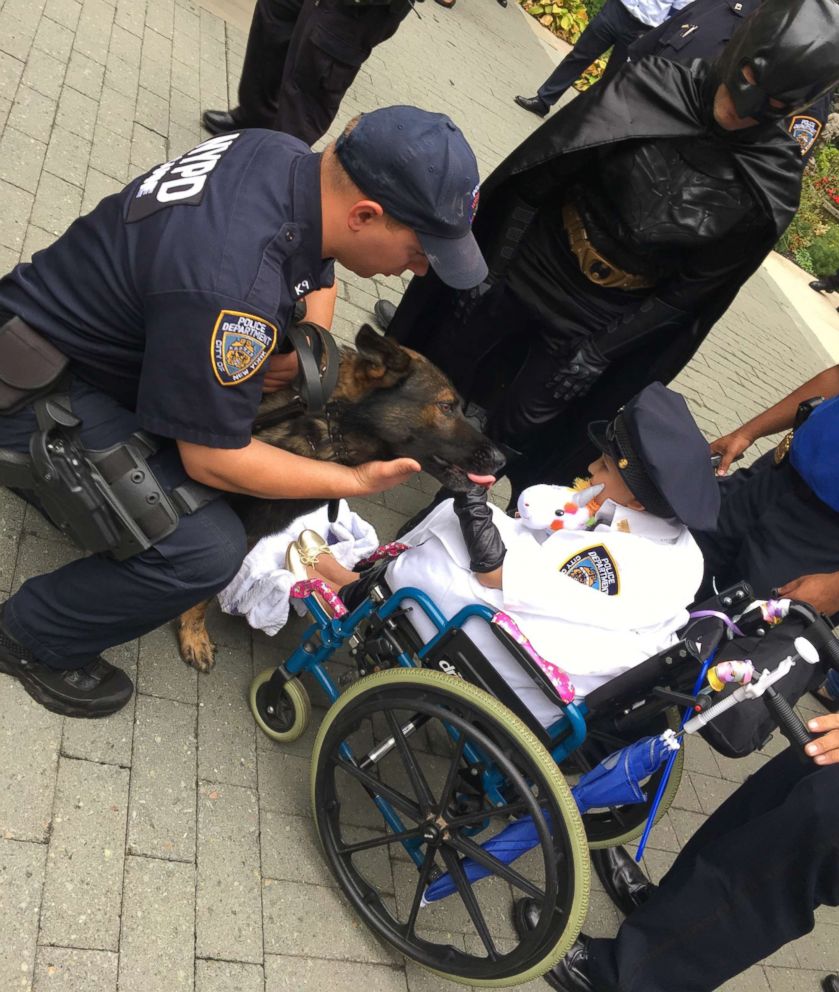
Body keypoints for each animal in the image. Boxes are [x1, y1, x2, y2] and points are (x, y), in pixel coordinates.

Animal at [177, 328, 506, 676]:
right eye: (445, 406)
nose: (502, 460)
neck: (330, 429)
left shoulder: (253, 530)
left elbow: (207, 591)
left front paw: (193, 630)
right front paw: (193, 632)